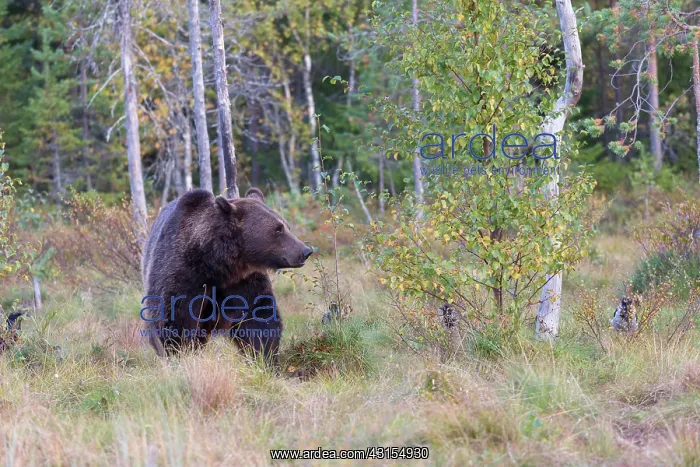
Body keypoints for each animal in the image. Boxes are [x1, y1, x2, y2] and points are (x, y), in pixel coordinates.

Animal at [140, 187, 312, 359]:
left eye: (287, 226)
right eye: (278, 229)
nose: (306, 251)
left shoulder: (244, 281)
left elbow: (258, 317)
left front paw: (263, 355)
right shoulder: (182, 275)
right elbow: (174, 319)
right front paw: (182, 353)